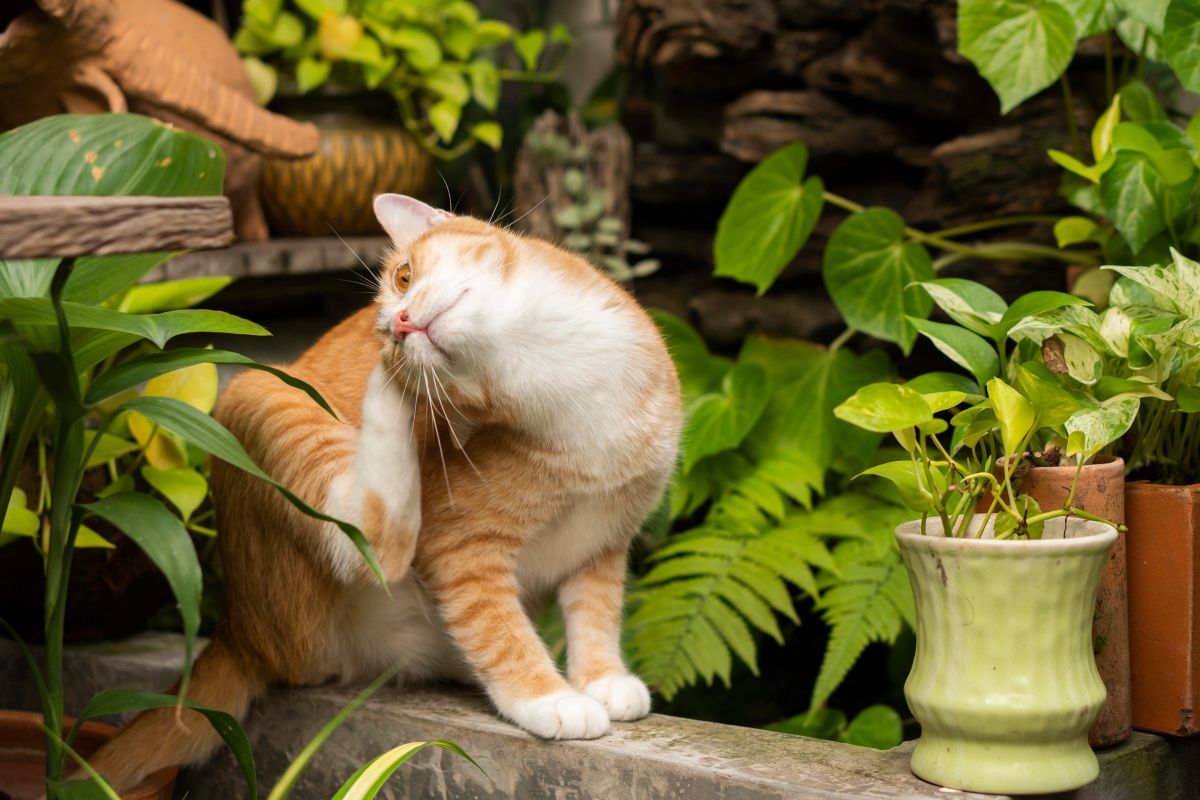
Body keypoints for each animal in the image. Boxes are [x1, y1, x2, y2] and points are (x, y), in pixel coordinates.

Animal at [83, 194, 681, 786]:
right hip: (262, 395)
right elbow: (497, 627)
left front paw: (602, 677)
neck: (563, 376)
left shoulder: (602, 542)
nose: (396, 325)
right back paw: (386, 390)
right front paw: (546, 698)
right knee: (371, 541)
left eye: (403, 275)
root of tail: (236, 631)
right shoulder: (458, 545)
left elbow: (596, 612)